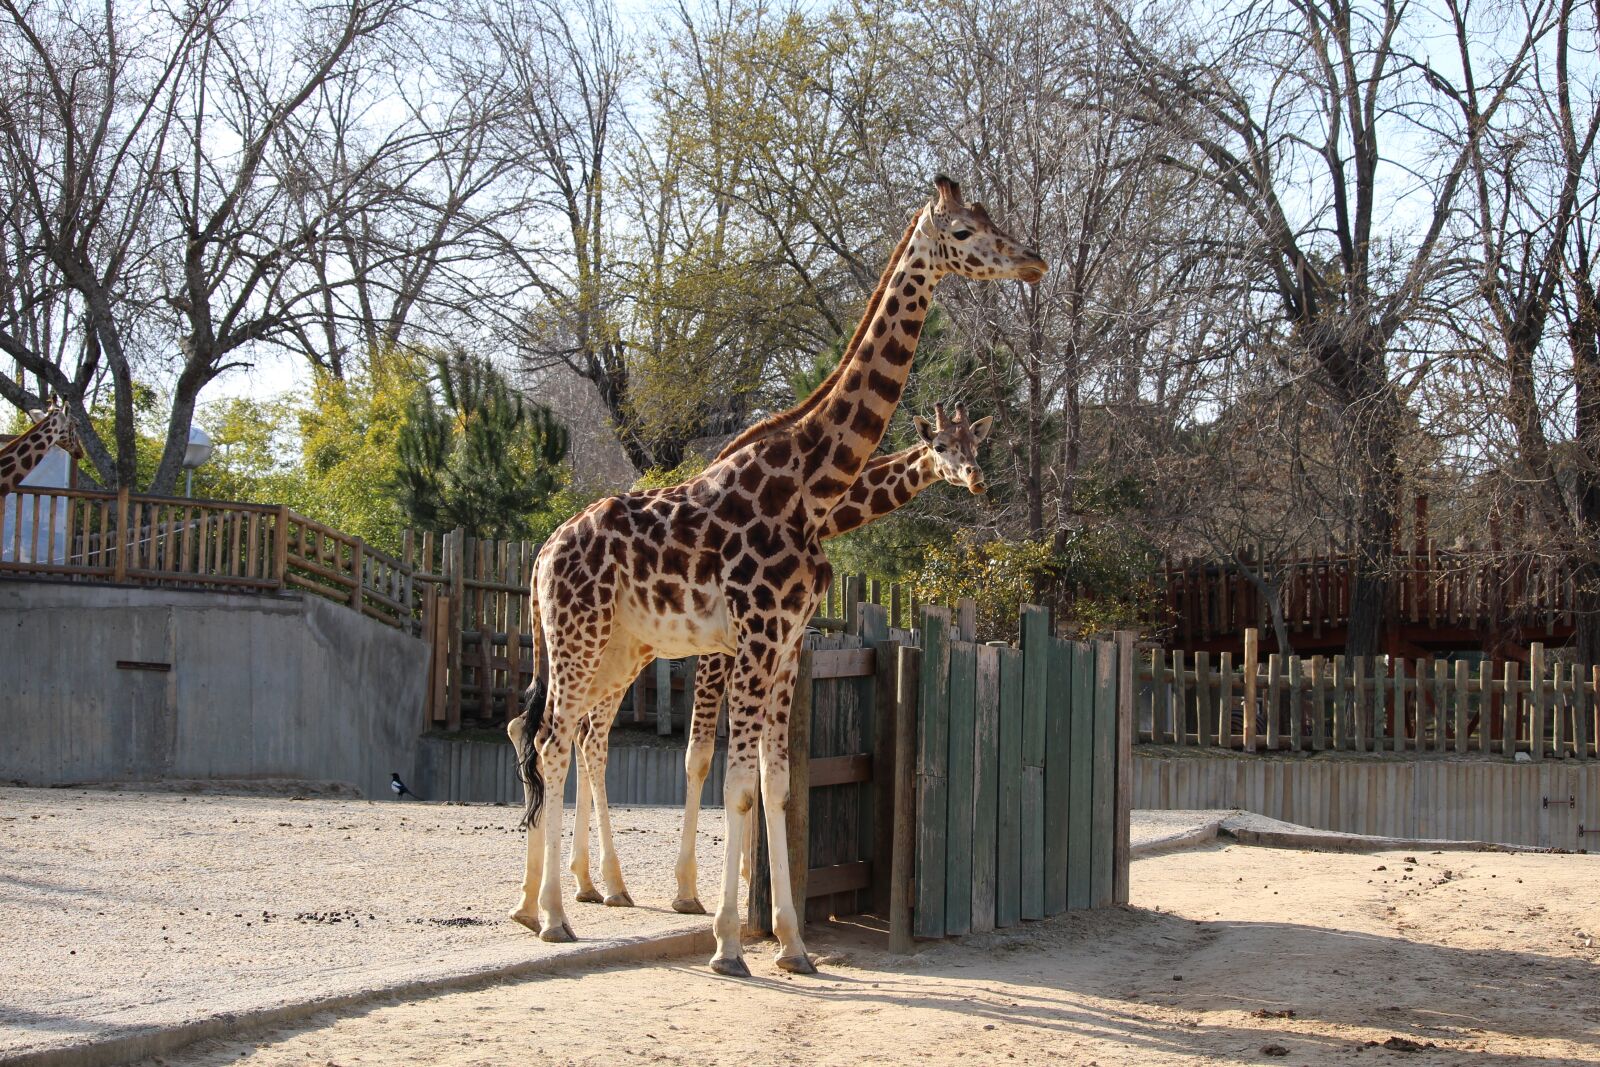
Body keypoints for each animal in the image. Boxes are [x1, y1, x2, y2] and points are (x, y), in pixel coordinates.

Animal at [561, 402, 993, 913]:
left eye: (977, 443)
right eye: (941, 445)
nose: (976, 477)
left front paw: (747, 878)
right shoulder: (722, 651)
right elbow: (700, 756)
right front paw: (689, 891)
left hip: (618, 656)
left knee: (584, 733)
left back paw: (587, 881)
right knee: (587, 735)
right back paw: (606, 883)